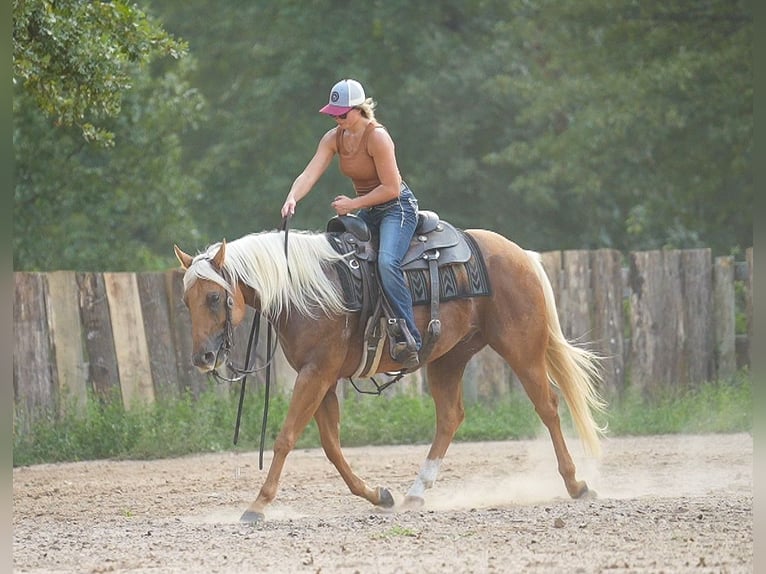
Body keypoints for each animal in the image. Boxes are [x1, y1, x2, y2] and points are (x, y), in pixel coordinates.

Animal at [173, 223, 606, 522]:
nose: (203, 357)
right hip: (449, 358)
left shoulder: (316, 373)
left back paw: (577, 484)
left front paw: (258, 505)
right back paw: (416, 493)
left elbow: (286, 438)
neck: (307, 290)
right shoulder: (322, 378)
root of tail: (520, 254)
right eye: (186, 301)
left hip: (522, 348)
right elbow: (331, 446)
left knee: (548, 406)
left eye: (214, 297)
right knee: (450, 417)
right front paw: (378, 495)